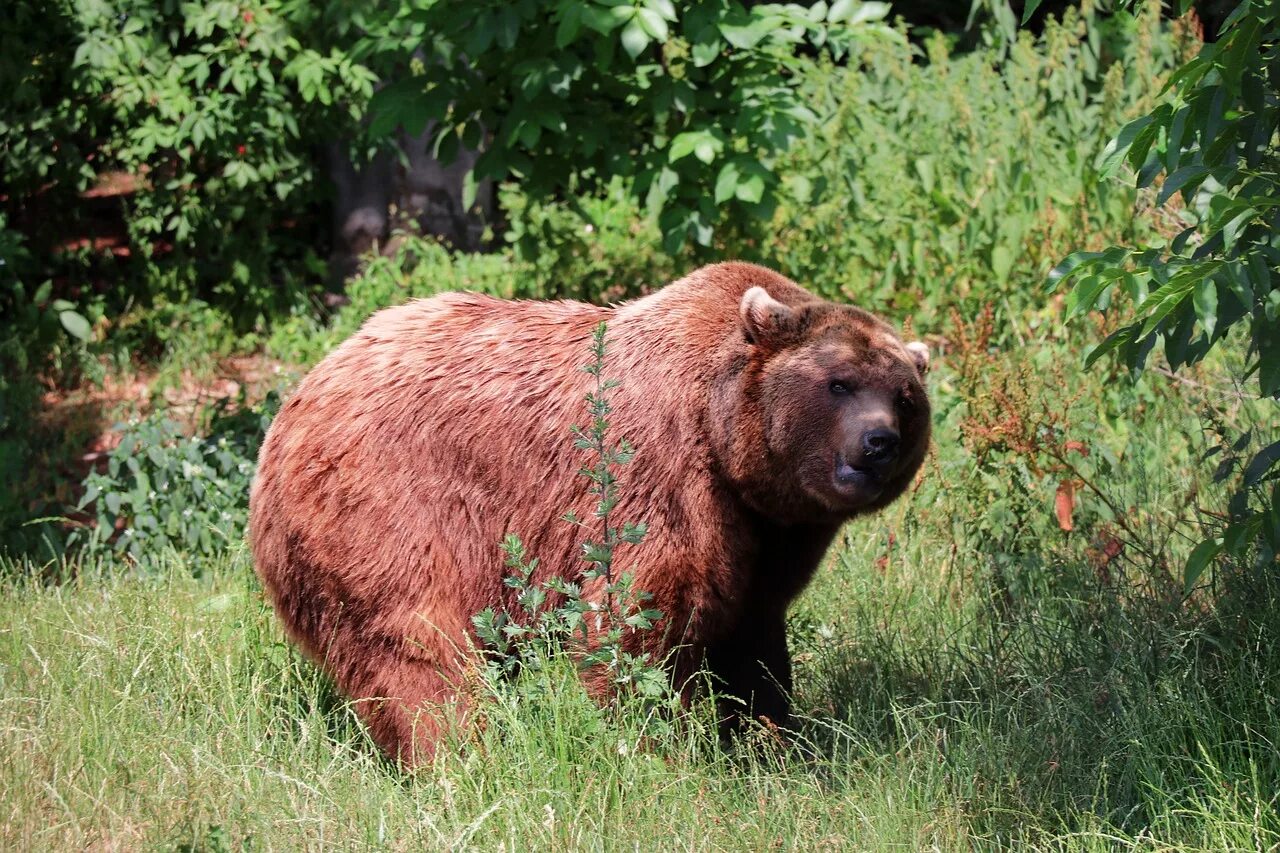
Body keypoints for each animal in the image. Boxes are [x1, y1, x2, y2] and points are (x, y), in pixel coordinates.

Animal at [249, 261, 931, 763]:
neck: (727, 441)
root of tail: (295, 402)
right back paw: (458, 755)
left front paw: (770, 740)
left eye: (904, 397)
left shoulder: (771, 531)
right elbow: (637, 622)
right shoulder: (663, 482)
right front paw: (653, 742)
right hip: (389, 507)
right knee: (420, 648)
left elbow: (753, 637)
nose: (879, 442)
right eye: (840, 383)